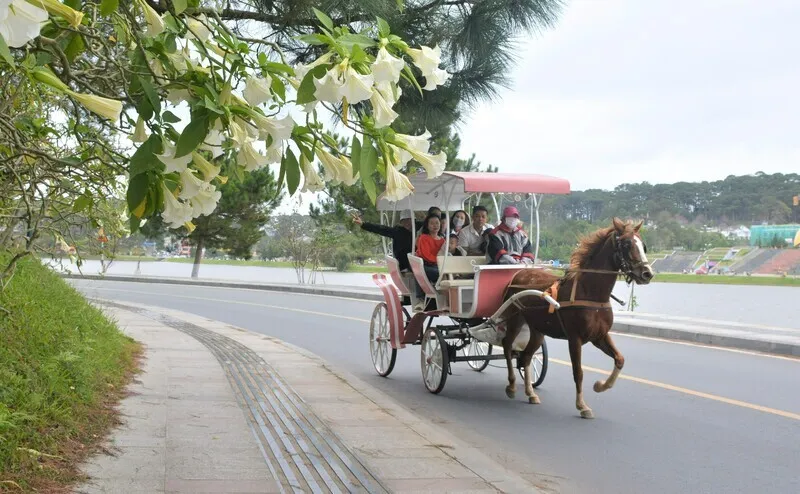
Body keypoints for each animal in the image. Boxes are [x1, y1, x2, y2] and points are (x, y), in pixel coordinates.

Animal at [504, 218, 652, 418]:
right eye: (627, 244)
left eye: (643, 245)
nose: (647, 273)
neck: (590, 292)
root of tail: (519, 274)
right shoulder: (575, 338)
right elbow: (578, 372)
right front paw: (582, 405)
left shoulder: (599, 336)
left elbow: (620, 359)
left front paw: (600, 386)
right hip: (515, 320)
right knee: (507, 346)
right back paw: (511, 385)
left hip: (537, 330)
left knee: (526, 356)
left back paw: (530, 393)